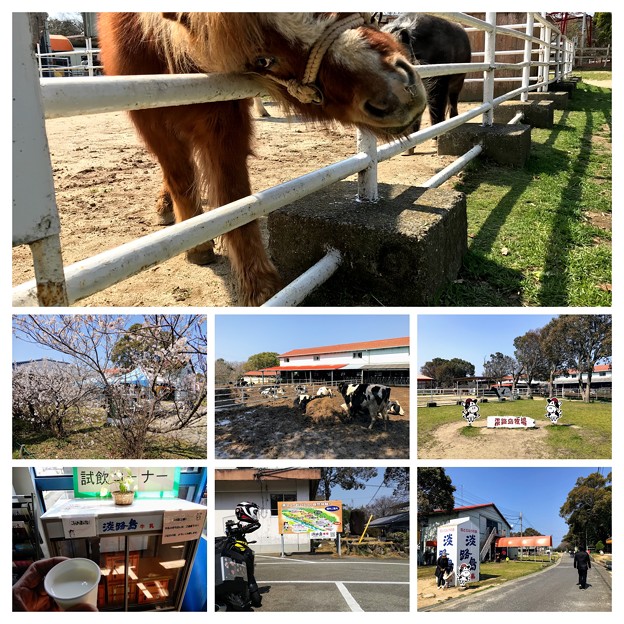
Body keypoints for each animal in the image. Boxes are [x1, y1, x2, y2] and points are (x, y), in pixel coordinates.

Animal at [98, 13, 428, 306]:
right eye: (264, 59)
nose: (399, 91)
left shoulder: (223, 118)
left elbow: (234, 198)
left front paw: (260, 287)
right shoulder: (151, 122)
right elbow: (180, 178)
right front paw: (199, 245)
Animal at [380, 14, 472, 154]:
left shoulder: (440, 78)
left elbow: (437, 106)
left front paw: (436, 141)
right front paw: (407, 151)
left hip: (460, 78)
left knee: (453, 100)